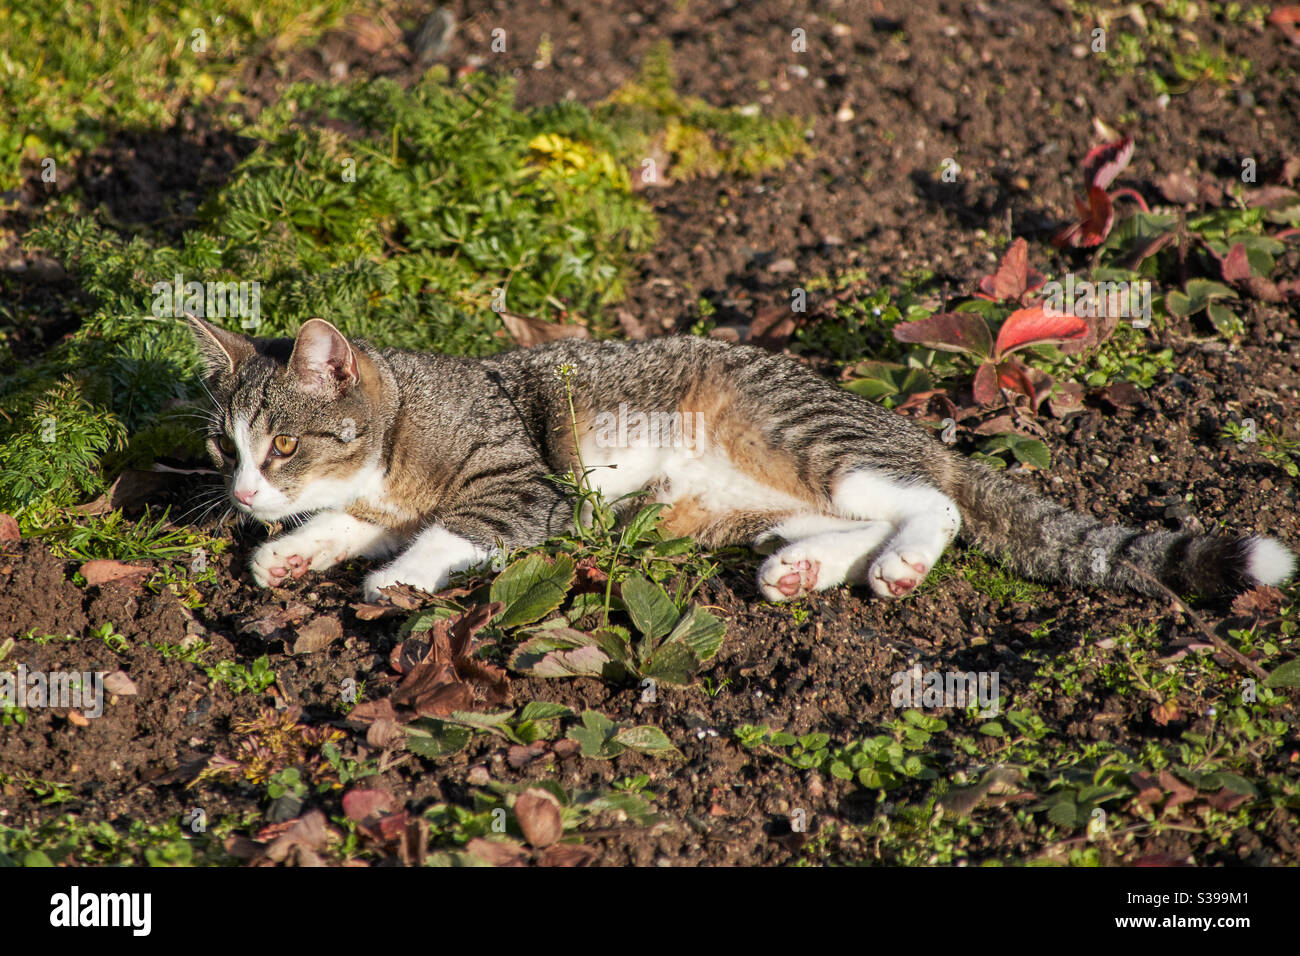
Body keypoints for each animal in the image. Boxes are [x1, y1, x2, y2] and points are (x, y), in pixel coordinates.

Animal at [188, 319, 1294, 606]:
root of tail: (903, 424)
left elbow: (450, 528)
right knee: (857, 520)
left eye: (281, 442)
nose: (241, 491)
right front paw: (294, 549)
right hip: (727, 508)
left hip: (806, 438)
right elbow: (348, 522)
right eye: (220, 444)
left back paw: (900, 562)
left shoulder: (524, 488)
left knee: (932, 504)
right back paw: (808, 567)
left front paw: (396, 576)